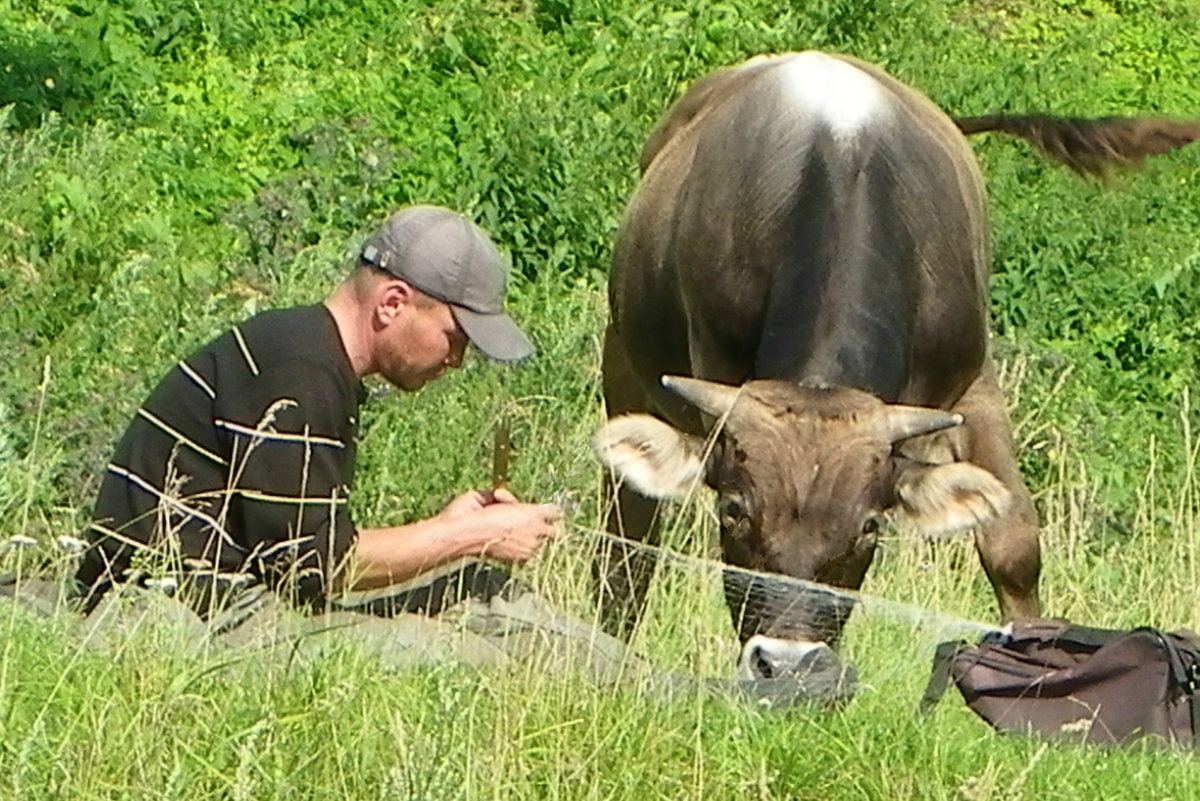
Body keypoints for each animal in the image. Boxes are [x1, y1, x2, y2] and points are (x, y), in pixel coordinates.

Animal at [592, 50, 1200, 681]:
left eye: (869, 526)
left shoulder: (972, 389)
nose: (789, 664)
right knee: (627, 532)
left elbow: (1012, 543)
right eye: (734, 510)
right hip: (624, 360)